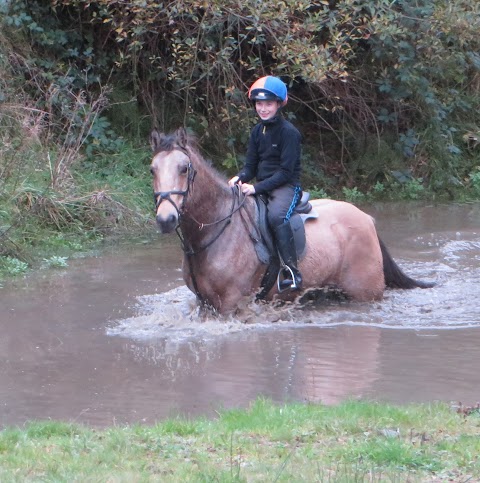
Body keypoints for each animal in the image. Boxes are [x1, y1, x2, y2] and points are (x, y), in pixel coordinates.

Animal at [148, 127, 434, 314]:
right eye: (153, 169)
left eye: (184, 168)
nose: (166, 219)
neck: (217, 228)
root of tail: (367, 219)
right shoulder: (205, 303)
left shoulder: (230, 305)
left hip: (364, 294)